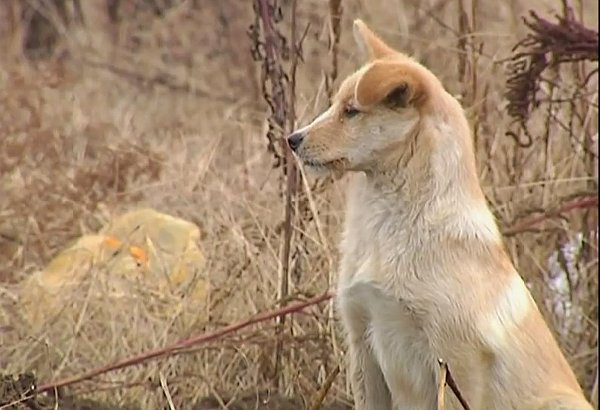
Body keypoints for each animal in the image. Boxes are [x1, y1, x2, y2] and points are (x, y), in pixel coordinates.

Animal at [286, 20, 592, 410]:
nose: (292, 139)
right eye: (336, 105)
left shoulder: (456, 359)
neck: (390, 224)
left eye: (351, 111)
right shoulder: (362, 344)